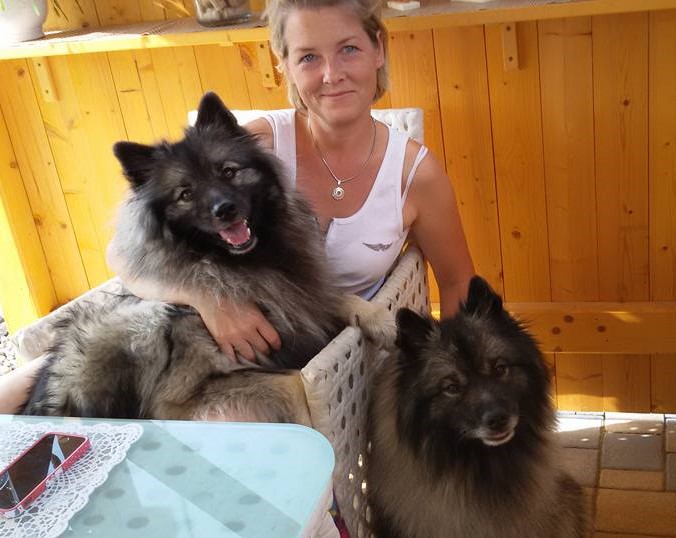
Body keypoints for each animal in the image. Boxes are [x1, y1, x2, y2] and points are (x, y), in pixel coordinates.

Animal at [22, 92, 389, 424]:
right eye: (185, 194)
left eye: (227, 172)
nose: (224, 210)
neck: (247, 267)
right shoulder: (179, 402)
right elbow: (294, 386)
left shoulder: (303, 300)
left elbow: (340, 298)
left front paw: (380, 319)